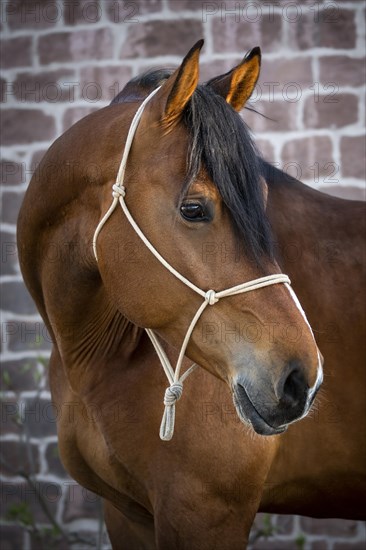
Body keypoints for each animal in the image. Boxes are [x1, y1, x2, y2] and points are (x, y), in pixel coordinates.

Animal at [15, 40, 364, 550]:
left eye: (262, 199)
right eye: (194, 209)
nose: (303, 378)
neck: (98, 357)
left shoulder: (204, 512)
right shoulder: (127, 514)